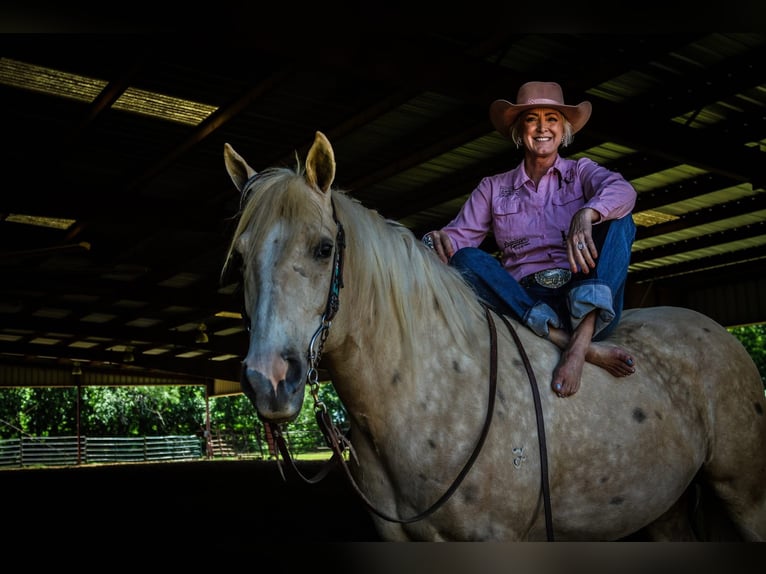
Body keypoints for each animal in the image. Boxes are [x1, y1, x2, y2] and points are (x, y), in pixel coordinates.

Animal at [222, 130, 766, 541]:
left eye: (323, 248)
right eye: (241, 258)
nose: (270, 380)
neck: (429, 390)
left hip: (745, 496)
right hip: (662, 508)